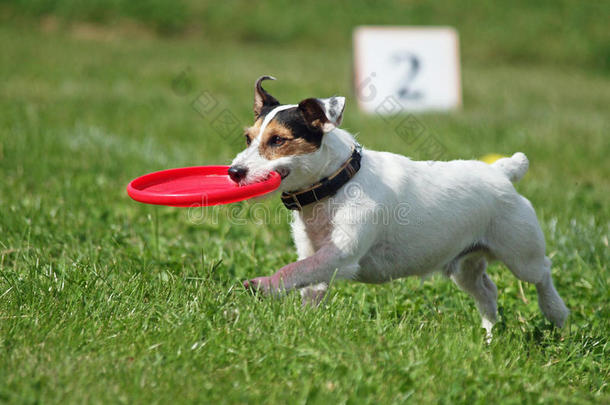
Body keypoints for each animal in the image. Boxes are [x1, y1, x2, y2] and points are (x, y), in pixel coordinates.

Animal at [228, 76, 564, 338]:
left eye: (278, 140)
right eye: (247, 138)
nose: (234, 172)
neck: (337, 182)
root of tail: (502, 171)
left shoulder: (341, 255)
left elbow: (294, 270)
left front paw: (264, 285)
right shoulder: (316, 258)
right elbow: (306, 281)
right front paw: (303, 323)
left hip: (521, 253)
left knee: (543, 272)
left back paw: (556, 313)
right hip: (464, 265)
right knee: (487, 292)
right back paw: (490, 335)